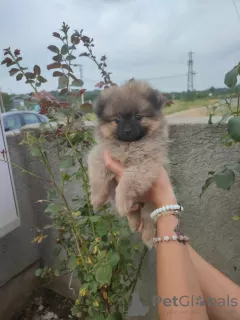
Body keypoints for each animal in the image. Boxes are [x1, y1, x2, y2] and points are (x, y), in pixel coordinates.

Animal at [87, 80, 168, 248]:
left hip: (149, 205)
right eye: (117, 120)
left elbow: (126, 184)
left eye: (137, 117)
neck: (128, 146)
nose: (127, 130)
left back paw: (148, 238)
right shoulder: (100, 154)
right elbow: (98, 176)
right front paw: (97, 199)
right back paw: (133, 223)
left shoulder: (144, 165)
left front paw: (122, 202)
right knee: (135, 214)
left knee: (148, 219)